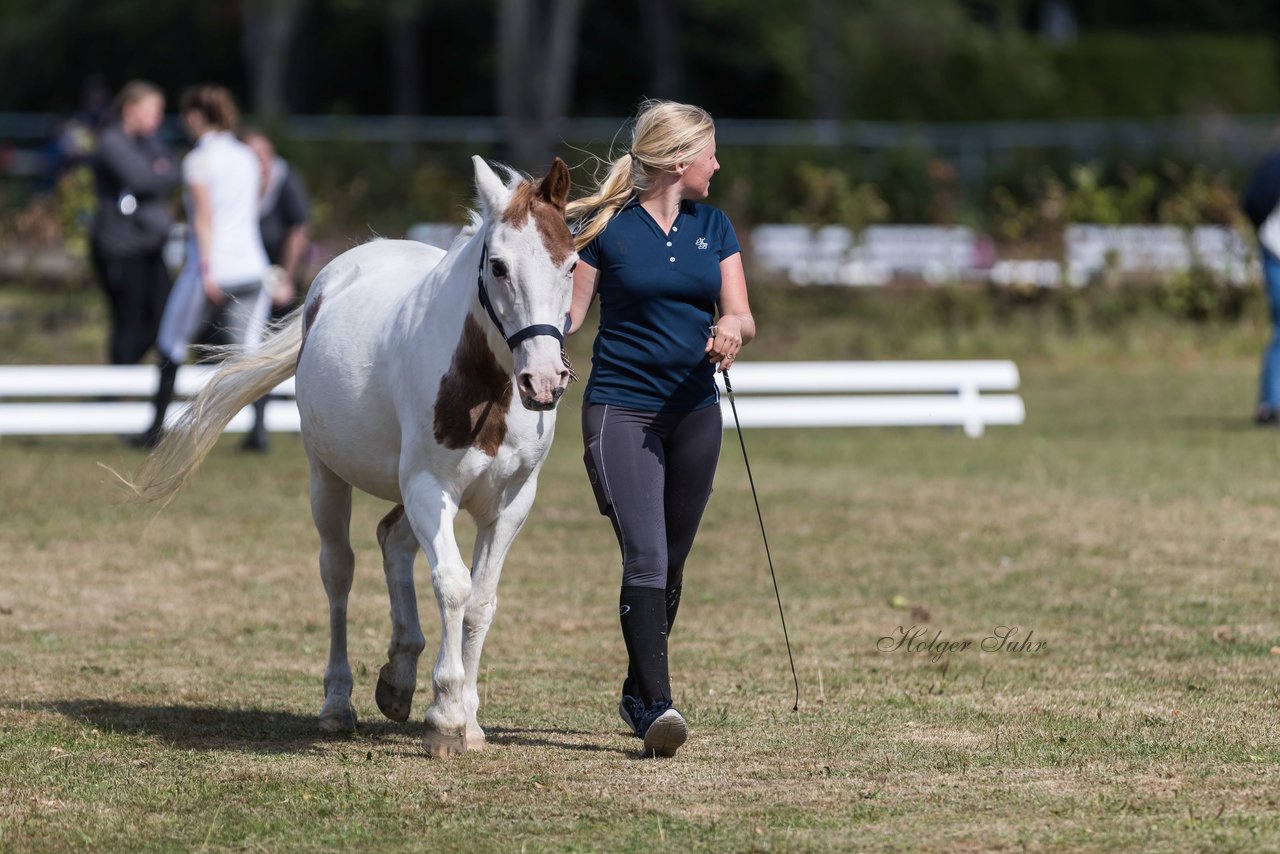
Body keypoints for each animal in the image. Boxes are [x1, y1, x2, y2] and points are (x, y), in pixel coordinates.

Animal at [131, 156, 576, 757]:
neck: (487, 389)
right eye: (500, 266)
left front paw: (469, 720)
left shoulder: (510, 503)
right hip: (328, 477)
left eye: (571, 264)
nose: (544, 381)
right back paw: (338, 703)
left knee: (393, 542)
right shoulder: (429, 488)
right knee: (339, 571)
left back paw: (399, 677)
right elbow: (453, 585)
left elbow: (481, 601)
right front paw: (444, 716)